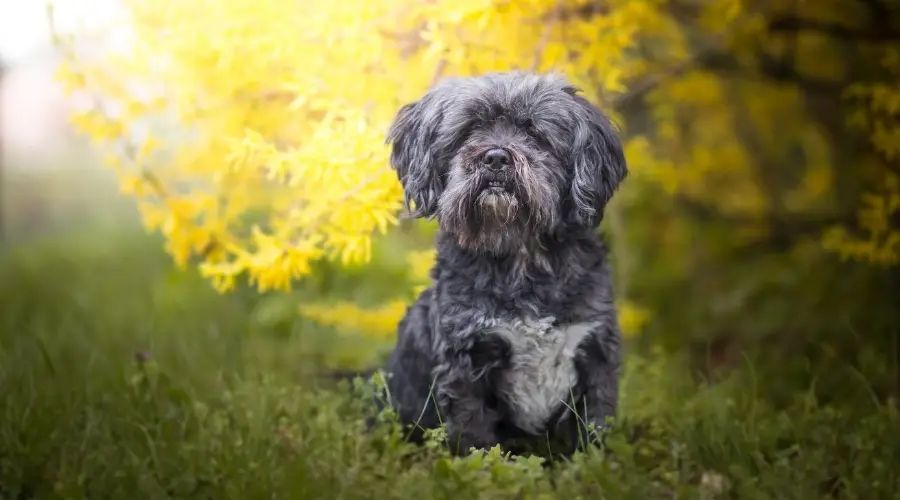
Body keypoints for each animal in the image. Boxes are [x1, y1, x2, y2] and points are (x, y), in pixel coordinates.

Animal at [372, 69, 624, 458]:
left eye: (534, 132)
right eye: (469, 130)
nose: (495, 158)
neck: (518, 253)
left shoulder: (596, 351)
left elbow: (595, 426)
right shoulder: (465, 358)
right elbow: (475, 436)